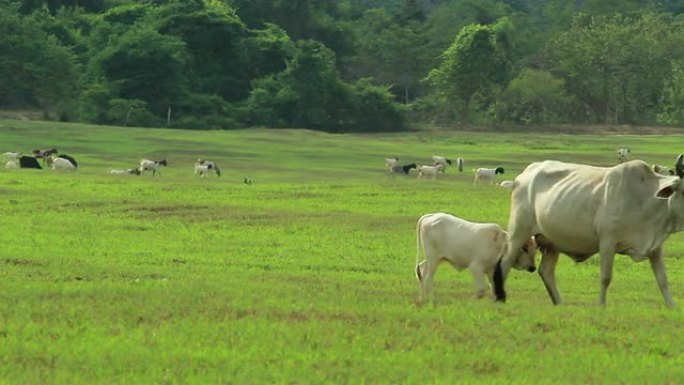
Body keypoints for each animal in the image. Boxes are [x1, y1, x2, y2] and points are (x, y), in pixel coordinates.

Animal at [494, 154, 684, 308]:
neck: (645, 200)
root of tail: (524, 174)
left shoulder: (655, 247)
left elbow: (662, 279)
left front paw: (672, 306)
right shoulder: (607, 242)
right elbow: (606, 277)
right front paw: (601, 305)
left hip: (552, 242)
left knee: (546, 271)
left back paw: (559, 302)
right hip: (518, 233)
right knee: (505, 263)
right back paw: (498, 298)